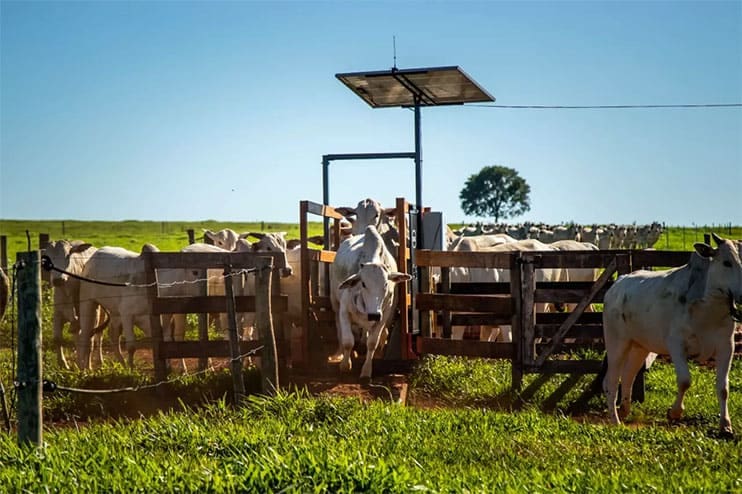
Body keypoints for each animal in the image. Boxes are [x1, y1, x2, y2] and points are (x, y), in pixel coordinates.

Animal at [332, 224, 412, 382]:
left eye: (386, 284)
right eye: (363, 283)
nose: (374, 315)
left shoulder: (384, 315)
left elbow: (372, 343)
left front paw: (366, 371)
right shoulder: (344, 310)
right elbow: (348, 341)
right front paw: (345, 365)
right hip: (335, 303)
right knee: (339, 329)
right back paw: (339, 352)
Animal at [604, 233, 742, 434]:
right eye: (727, 262)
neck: (707, 308)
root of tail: (617, 284)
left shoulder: (727, 346)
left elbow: (723, 388)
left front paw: (725, 425)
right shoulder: (676, 344)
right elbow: (685, 380)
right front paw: (674, 413)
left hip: (640, 346)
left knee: (628, 374)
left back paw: (624, 409)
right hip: (616, 344)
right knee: (612, 381)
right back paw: (615, 420)